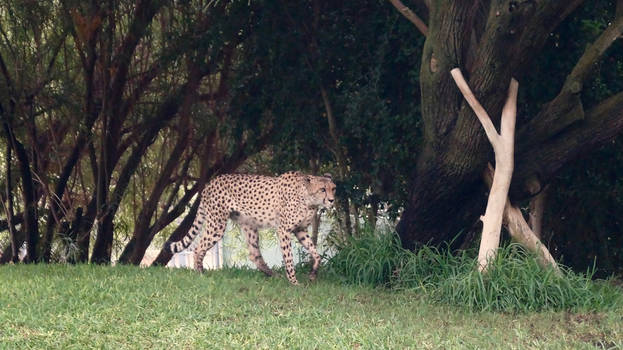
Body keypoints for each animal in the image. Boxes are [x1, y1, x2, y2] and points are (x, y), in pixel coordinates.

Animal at [163, 172, 334, 284]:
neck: (308, 200)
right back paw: (199, 273)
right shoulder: (283, 230)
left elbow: (316, 253)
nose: (332, 200)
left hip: (249, 225)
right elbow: (289, 258)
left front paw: (313, 274)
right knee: (199, 247)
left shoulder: (300, 230)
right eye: (322, 189)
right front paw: (294, 282)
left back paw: (273, 275)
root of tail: (209, 183)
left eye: (333, 189)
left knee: (254, 255)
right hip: (217, 224)